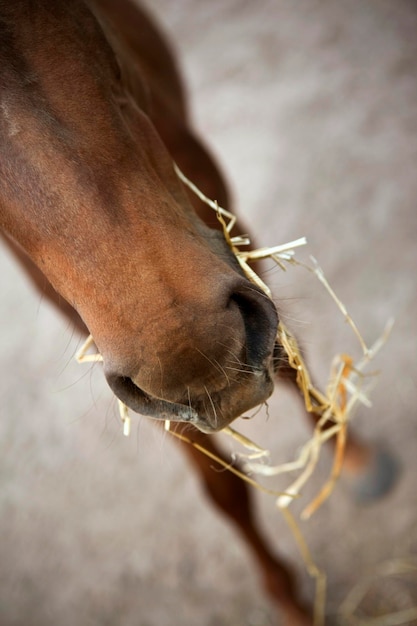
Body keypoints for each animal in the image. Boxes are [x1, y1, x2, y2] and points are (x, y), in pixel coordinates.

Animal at [0, 2, 394, 620]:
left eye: (71, 17)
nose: (193, 353)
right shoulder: (104, 339)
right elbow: (223, 488)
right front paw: (289, 602)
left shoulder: (222, 222)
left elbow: (291, 362)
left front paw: (349, 453)